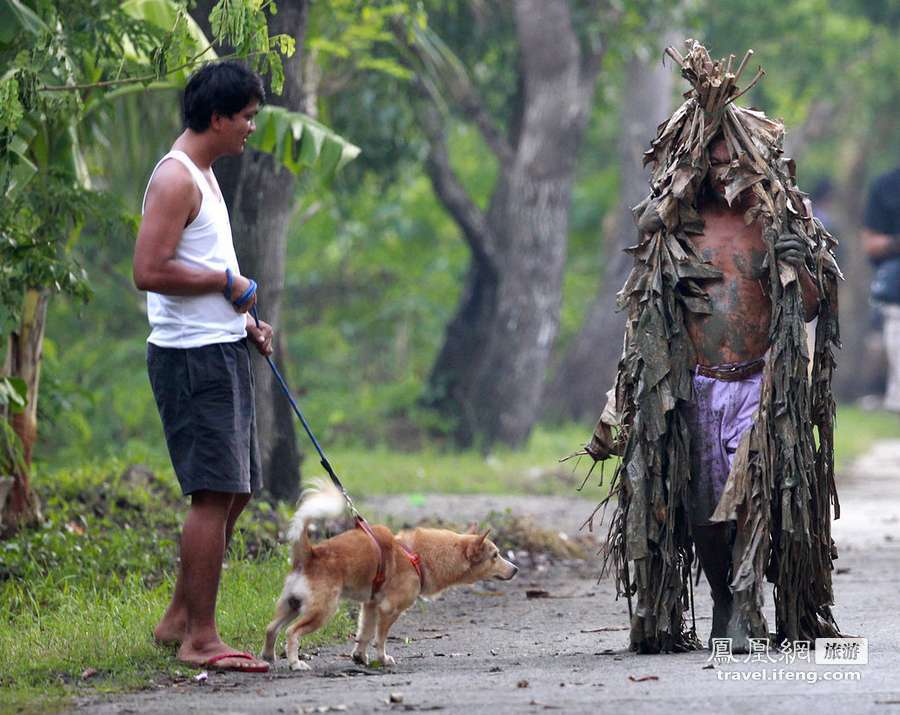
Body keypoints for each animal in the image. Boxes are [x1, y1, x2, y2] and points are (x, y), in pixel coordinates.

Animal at [264, 482, 516, 672]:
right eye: (495, 556)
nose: (515, 569)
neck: (417, 556)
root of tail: (310, 554)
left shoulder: (370, 606)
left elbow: (365, 634)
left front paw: (359, 657)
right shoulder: (388, 609)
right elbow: (380, 638)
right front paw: (382, 659)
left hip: (292, 604)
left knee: (271, 628)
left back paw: (268, 657)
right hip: (322, 611)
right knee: (291, 632)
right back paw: (295, 662)